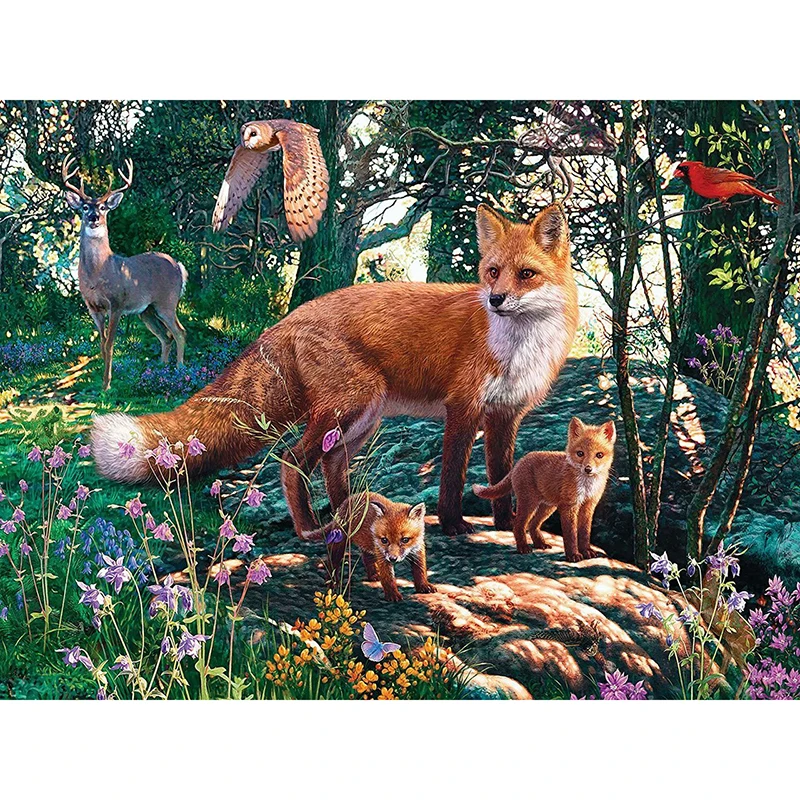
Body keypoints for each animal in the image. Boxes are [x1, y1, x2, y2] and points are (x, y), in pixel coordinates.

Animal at [91, 203, 578, 539]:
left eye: (526, 274)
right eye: (493, 272)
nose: (495, 299)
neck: (518, 346)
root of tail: (289, 318)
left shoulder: (505, 415)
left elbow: (501, 473)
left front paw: (506, 523)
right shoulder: (463, 406)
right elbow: (454, 474)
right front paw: (456, 524)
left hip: (362, 419)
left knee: (330, 463)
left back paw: (353, 520)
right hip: (350, 405)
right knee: (292, 460)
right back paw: (310, 529)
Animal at [301, 492, 435, 602]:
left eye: (405, 540)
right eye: (384, 540)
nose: (392, 559)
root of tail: (348, 500)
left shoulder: (418, 549)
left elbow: (420, 570)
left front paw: (424, 586)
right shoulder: (381, 553)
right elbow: (388, 578)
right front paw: (393, 595)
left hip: (367, 547)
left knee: (366, 558)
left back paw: (373, 576)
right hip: (340, 543)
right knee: (332, 562)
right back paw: (332, 583)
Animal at [473, 417, 616, 561]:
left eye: (599, 455)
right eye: (580, 453)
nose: (588, 469)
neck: (587, 486)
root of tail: (519, 462)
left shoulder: (588, 505)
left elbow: (585, 532)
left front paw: (587, 552)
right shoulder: (569, 506)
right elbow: (570, 534)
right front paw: (573, 555)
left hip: (547, 507)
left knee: (532, 525)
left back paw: (540, 544)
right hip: (529, 503)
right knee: (518, 524)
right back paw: (523, 548)